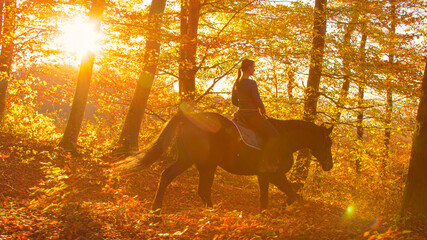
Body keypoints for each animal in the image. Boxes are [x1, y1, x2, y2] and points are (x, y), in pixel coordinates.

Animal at [116, 110, 334, 212]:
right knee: (173, 178)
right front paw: (279, 211)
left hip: (202, 163)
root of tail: (189, 118)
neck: (286, 137)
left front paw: (265, 214)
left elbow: (267, 198)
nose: (329, 165)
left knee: (199, 188)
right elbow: (290, 195)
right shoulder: (274, 174)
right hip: (196, 162)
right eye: (328, 142)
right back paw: (158, 209)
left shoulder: (265, 176)